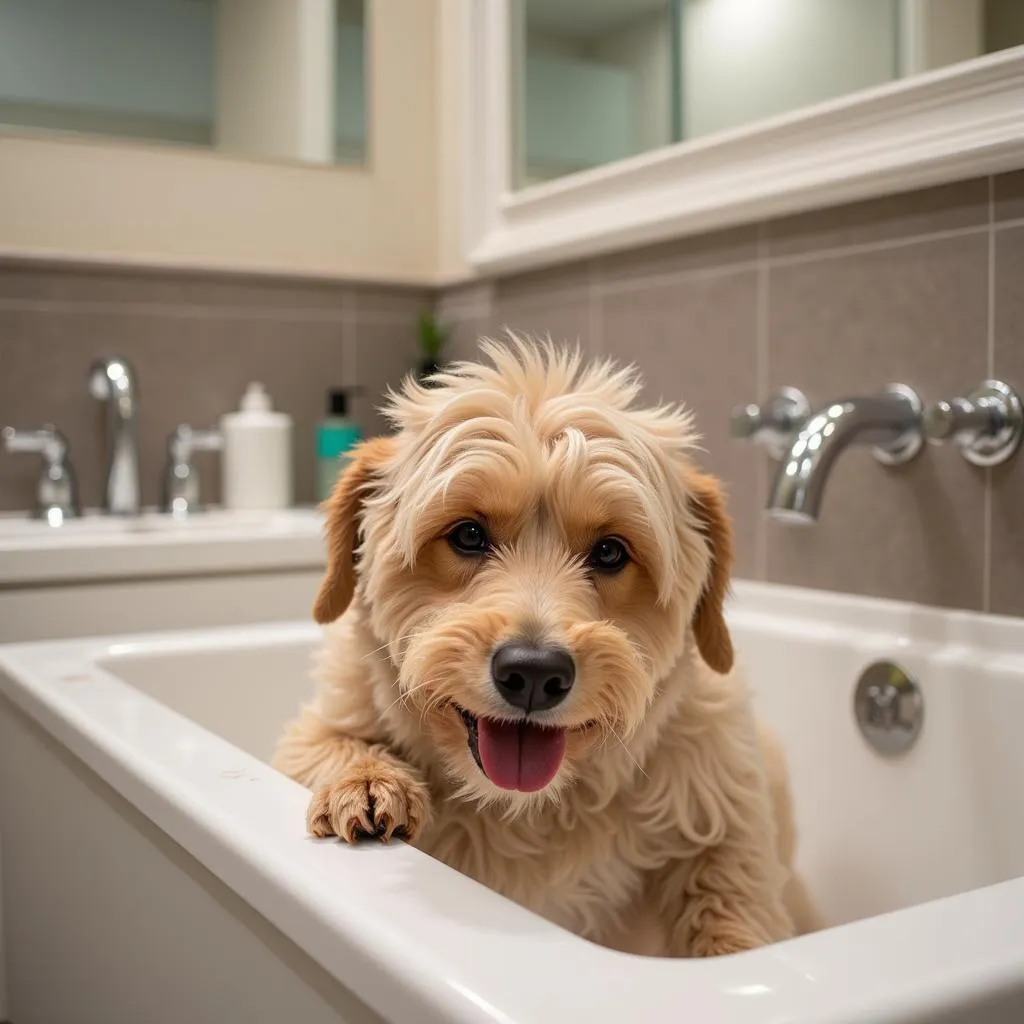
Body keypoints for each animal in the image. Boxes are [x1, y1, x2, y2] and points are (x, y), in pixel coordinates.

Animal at [272, 339, 815, 954]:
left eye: (610, 551)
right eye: (468, 535)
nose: (533, 673)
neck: (530, 807)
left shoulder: (727, 835)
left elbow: (735, 922)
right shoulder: (316, 726)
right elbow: (329, 742)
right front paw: (367, 779)